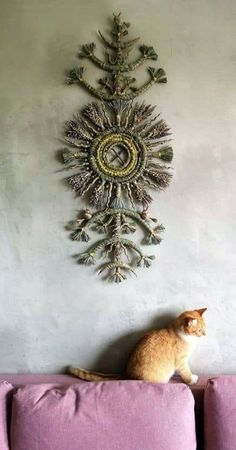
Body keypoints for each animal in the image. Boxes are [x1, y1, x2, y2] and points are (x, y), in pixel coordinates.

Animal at [69, 308, 206, 384]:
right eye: (199, 330)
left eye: (205, 328)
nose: (205, 334)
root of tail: (126, 373)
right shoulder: (181, 362)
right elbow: (186, 372)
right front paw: (191, 380)